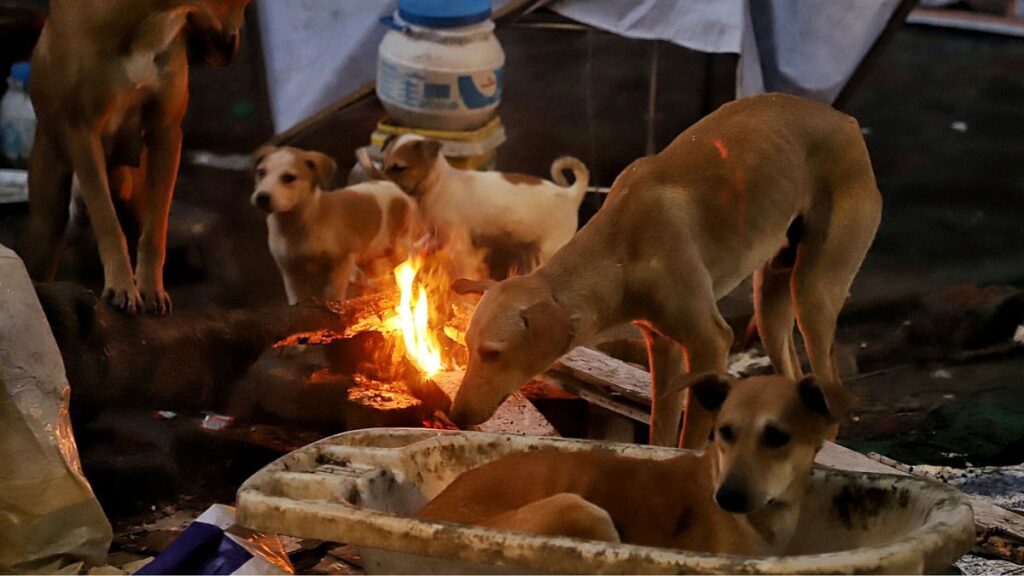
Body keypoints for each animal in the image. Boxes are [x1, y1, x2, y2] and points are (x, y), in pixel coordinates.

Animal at [23, 0, 250, 313]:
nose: (232, 50)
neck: (149, 18)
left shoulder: (166, 134)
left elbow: (155, 233)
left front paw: (151, 289)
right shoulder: (83, 134)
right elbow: (107, 222)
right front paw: (121, 285)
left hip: (135, 197)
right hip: (48, 218)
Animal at [250, 145, 415, 305]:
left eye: (288, 178)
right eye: (261, 173)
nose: (261, 197)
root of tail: (389, 183)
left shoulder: (342, 262)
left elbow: (332, 293)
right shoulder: (291, 273)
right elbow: (296, 299)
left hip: (398, 246)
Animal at [378, 134, 589, 266]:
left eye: (399, 168)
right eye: (383, 163)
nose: (378, 178)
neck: (436, 185)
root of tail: (571, 194)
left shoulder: (459, 243)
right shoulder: (435, 236)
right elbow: (420, 246)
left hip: (551, 250)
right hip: (532, 250)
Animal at [452, 93, 884, 448]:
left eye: (493, 353)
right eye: (468, 346)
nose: (455, 416)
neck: (619, 248)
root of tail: (845, 121)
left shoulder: (710, 344)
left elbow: (688, 441)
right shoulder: (665, 350)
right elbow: (660, 434)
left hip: (813, 294)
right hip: (770, 304)